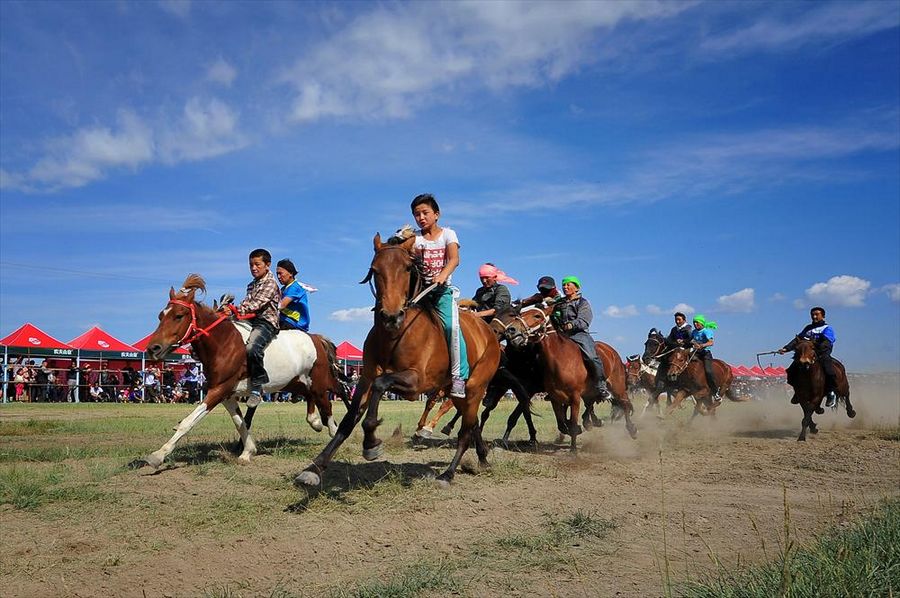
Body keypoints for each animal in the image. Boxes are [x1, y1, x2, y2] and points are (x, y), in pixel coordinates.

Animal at [140, 276, 348, 468]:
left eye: (179, 315)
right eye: (160, 316)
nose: (153, 348)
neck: (224, 343)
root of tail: (316, 339)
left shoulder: (218, 390)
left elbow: (188, 422)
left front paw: (157, 455)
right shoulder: (227, 395)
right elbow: (240, 423)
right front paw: (248, 451)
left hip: (320, 382)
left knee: (332, 400)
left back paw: (333, 432)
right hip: (296, 383)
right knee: (315, 400)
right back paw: (316, 422)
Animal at [298, 232, 502, 490]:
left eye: (407, 268)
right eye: (375, 270)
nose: (391, 316)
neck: (394, 336)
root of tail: (489, 332)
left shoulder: (416, 382)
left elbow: (381, 385)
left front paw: (371, 442)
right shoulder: (365, 379)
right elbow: (348, 420)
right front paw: (314, 468)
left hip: (476, 387)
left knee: (465, 432)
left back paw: (448, 474)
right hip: (458, 393)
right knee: (471, 422)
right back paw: (482, 458)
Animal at [496, 302, 636, 452]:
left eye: (537, 315)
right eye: (521, 314)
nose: (511, 330)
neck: (561, 359)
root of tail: (612, 352)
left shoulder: (574, 397)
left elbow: (572, 423)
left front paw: (573, 449)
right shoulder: (554, 397)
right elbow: (562, 424)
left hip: (617, 387)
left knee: (625, 404)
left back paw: (631, 429)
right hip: (590, 391)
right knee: (591, 404)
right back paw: (592, 422)